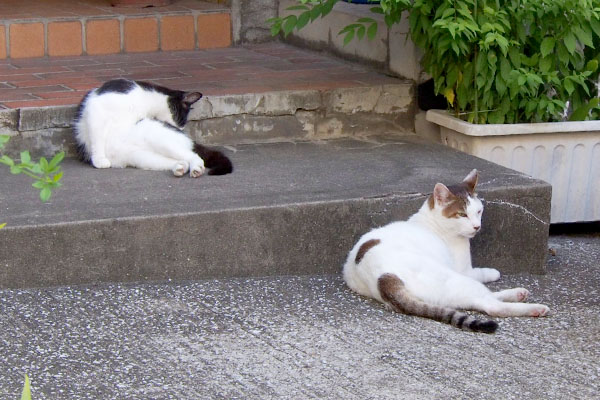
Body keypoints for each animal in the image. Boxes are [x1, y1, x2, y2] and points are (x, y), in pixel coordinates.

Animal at [72, 79, 232, 176]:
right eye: (180, 120)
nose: (180, 129)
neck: (145, 100)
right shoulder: (97, 109)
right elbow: (97, 137)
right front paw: (99, 160)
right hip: (143, 157)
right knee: (180, 160)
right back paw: (180, 167)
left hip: (160, 140)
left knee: (194, 156)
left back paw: (196, 169)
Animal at [344, 170, 552, 334]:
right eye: (462, 214)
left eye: (478, 211)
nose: (477, 226)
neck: (433, 223)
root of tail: (384, 280)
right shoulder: (465, 270)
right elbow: (481, 273)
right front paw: (493, 272)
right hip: (453, 279)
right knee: (491, 305)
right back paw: (534, 307)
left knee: (482, 300)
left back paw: (519, 294)